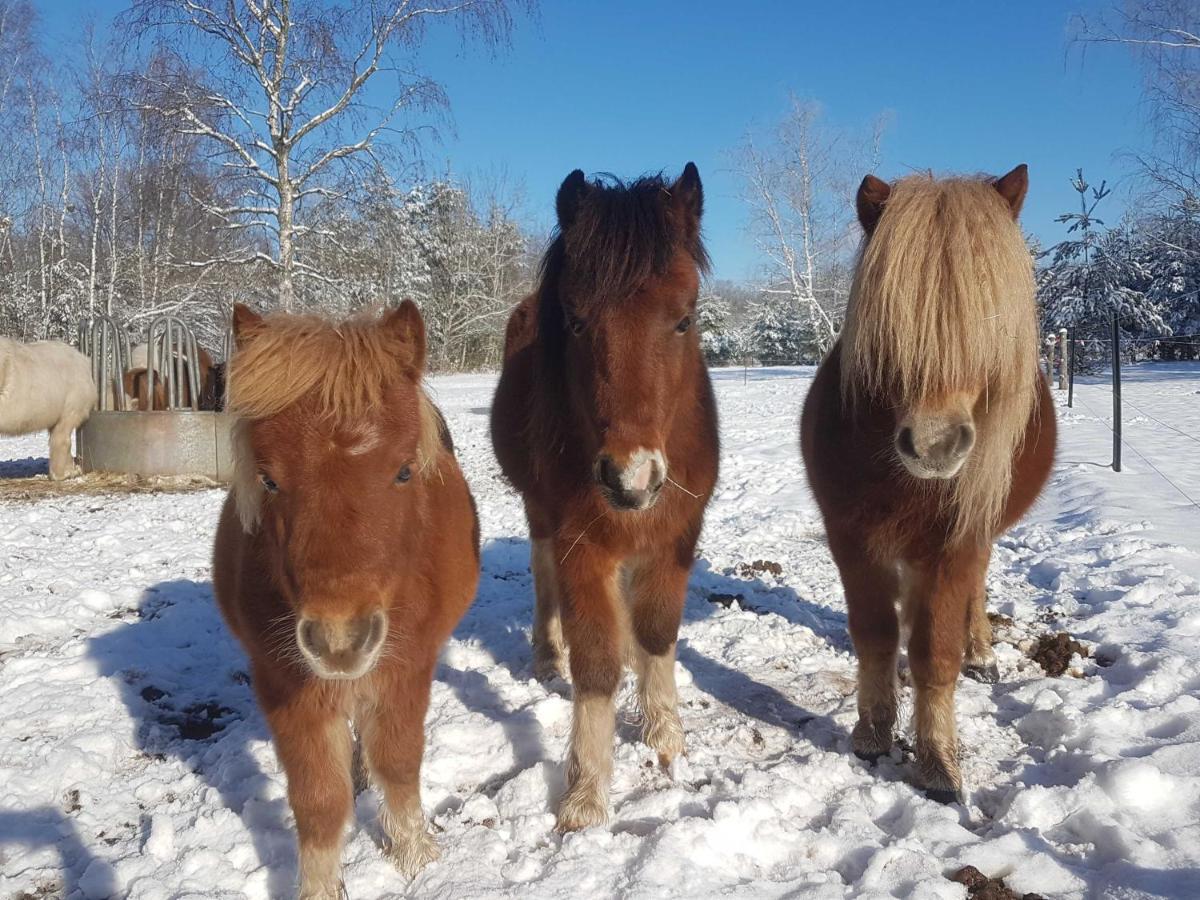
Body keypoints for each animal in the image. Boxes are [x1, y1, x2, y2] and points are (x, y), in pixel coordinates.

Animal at [211, 301, 477, 897]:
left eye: (403, 470)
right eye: (268, 479)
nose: (339, 641)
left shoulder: (406, 671)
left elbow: (398, 767)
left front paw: (416, 859)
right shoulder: (285, 687)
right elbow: (318, 802)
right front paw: (319, 885)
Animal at [489, 168, 715, 830]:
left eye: (685, 319)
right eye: (577, 321)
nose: (628, 478)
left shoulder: (674, 540)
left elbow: (657, 634)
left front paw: (665, 735)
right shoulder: (582, 549)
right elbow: (594, 664)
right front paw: (585, 796)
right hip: (541, 518)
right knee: (543, 578)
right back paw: (546, 657)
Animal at [801, 165, 1056, 806]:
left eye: (989, 317)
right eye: (891, 320)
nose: (936, 445)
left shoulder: (955, 542)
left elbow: (936, 650)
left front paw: (939, 762)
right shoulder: (852, 539)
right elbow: (875, 635)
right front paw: (872, 732)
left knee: (973, 591)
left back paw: (982, 653)